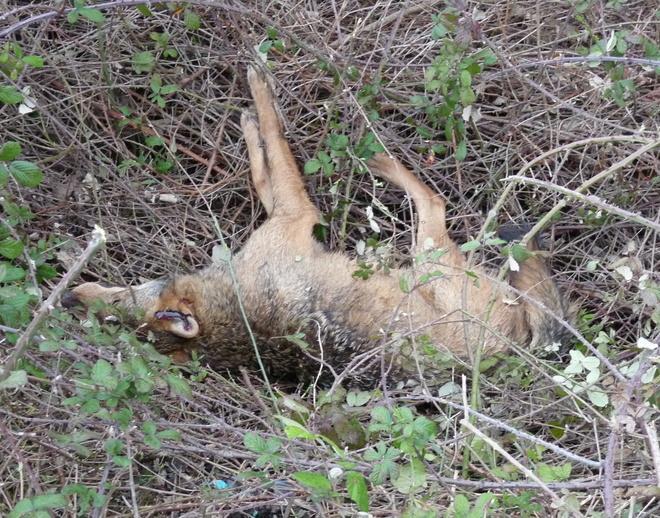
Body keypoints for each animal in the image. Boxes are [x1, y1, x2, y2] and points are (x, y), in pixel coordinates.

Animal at [63, 66, 571, 388]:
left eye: (115, 305)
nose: (68, 296)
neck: (234, 308)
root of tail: (519, 350)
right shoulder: (294, 218)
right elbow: (273, 151)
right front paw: (258, 101)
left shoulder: (290, 218)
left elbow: (266, 158)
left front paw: (253, 109)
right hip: (428, 253)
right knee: (434, 201)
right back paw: (381, 161)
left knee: (435, 201)